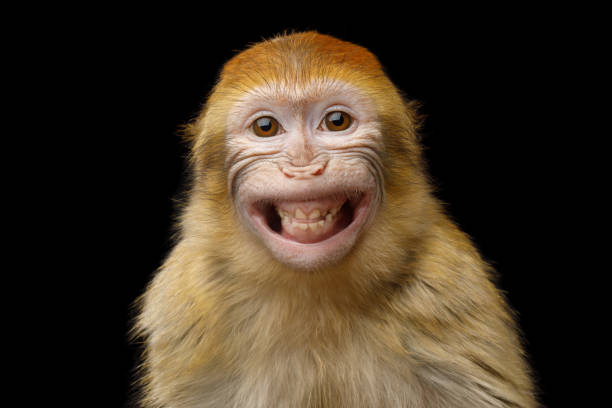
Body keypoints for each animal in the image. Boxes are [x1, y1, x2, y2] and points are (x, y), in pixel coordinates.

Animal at [133, 30, 536, 406]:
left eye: (337, 121)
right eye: (266, 127)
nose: (303, 164)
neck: (313, 293)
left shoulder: (453, 290)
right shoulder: (183, 305)